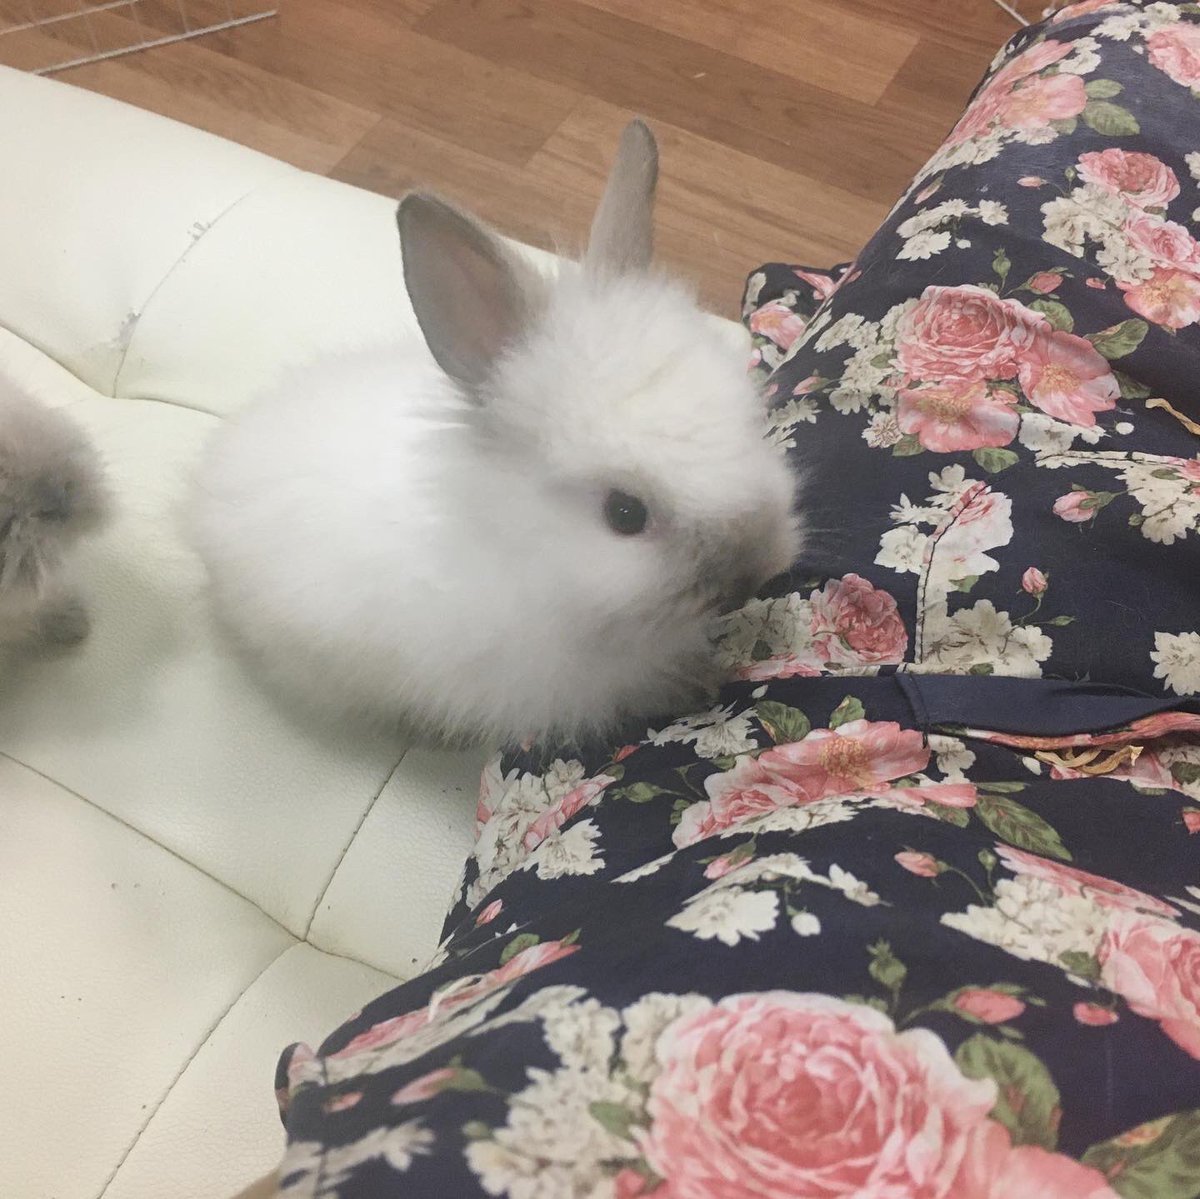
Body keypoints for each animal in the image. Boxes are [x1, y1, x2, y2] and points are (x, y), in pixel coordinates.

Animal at [190, 119, 802, 747]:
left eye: (749, 427)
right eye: (625, 513)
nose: (748, 577)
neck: (525, 548)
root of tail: (209, 483)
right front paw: (698, 680)